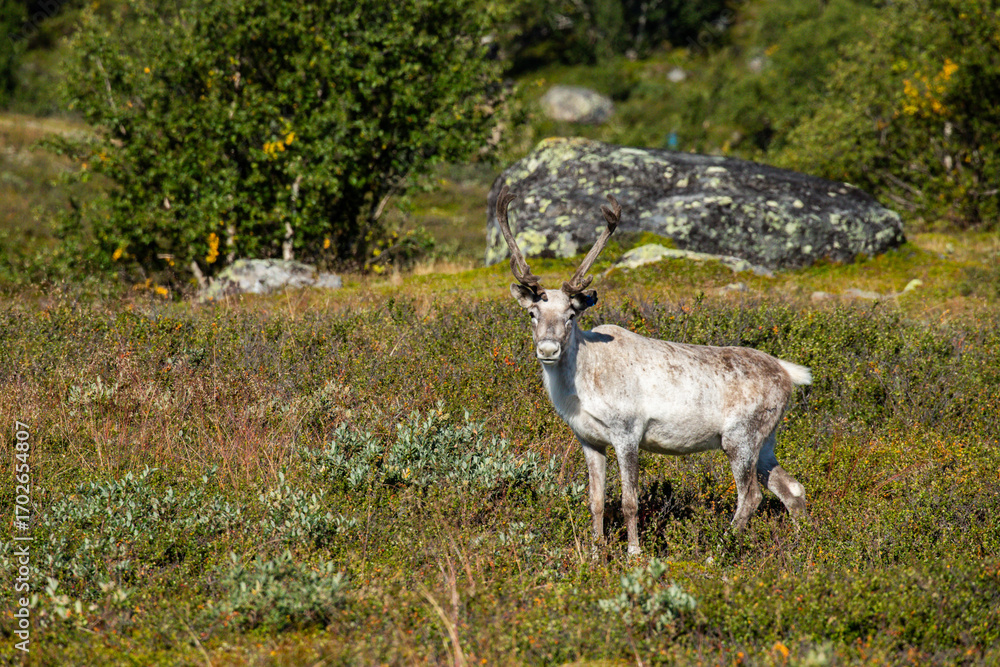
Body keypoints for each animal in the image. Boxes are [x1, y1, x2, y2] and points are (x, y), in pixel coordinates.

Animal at [494, 184, 811, 555]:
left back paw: (717, 551)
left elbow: (629, 501)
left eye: (571, 315)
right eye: (532, 314)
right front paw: (595, 552)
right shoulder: (589, 439)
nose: (547, 349)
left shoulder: (628, 431)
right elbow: (596, 500)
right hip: (767, 439)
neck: (581, 389)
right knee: (792, 489)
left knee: (752, 496)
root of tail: (787, 373)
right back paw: (804, 545)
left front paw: (634, 553)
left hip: (740, 437)